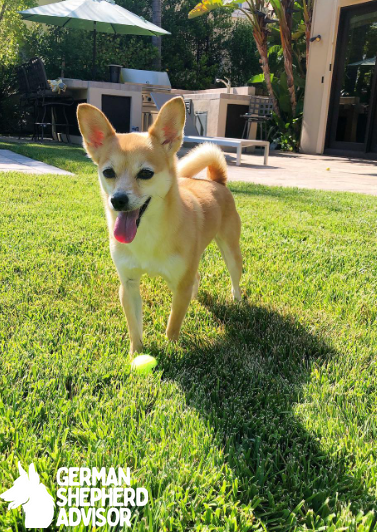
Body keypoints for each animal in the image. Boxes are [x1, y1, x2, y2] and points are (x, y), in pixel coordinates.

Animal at [77, 96, 241, 354]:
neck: (147, 234)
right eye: (108, 172)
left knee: (235, 277)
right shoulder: (129, 284)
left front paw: (172, 349)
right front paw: (136, 354)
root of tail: (217, 181)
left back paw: (237, 301)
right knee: (196, 278)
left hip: (231, 250)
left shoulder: (180, 284)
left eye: (145, 173)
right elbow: (134, 326)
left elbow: (173, 324)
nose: (118, 199)